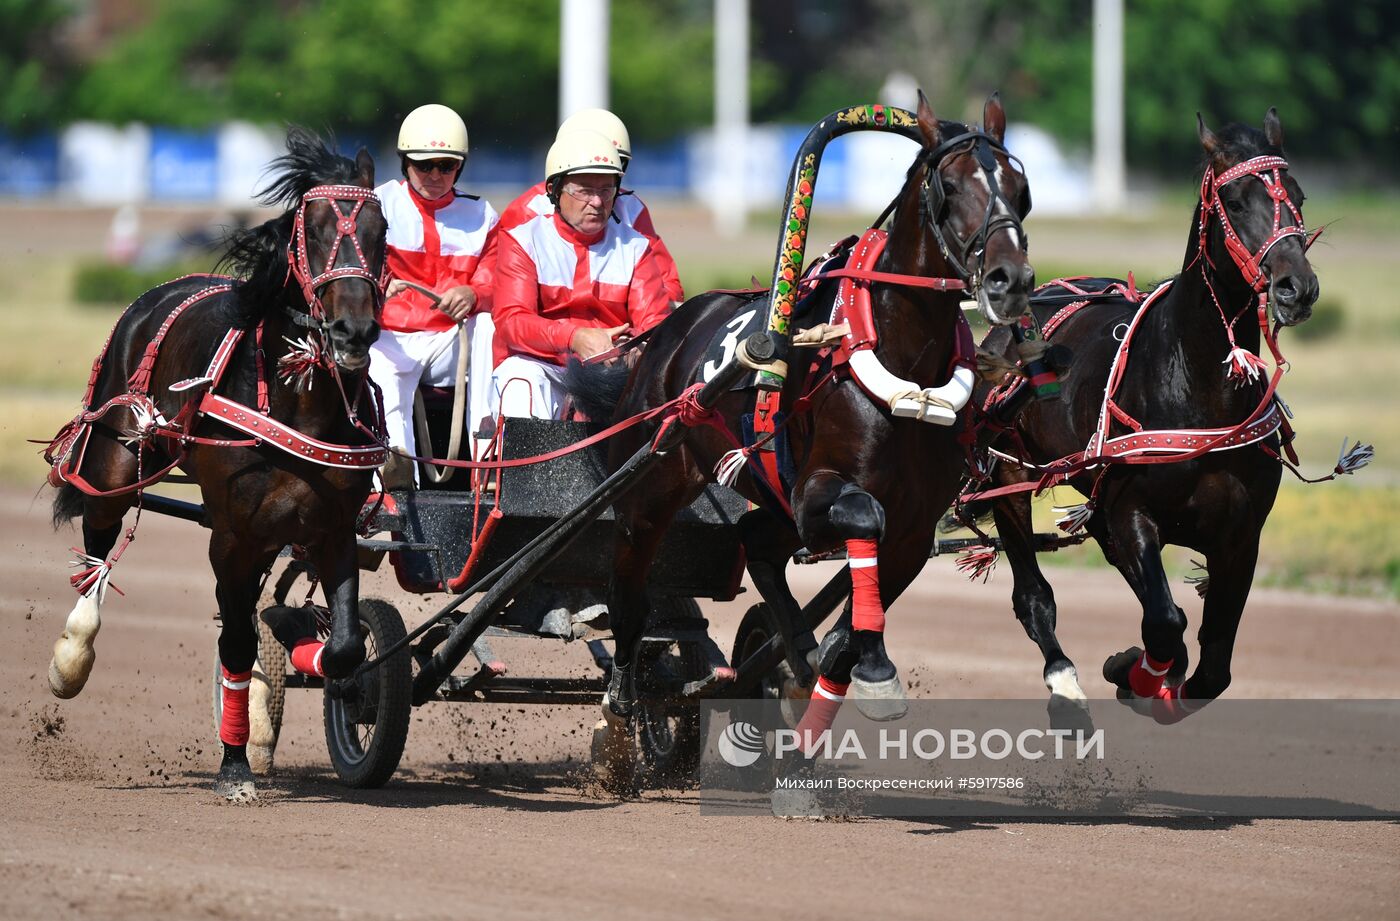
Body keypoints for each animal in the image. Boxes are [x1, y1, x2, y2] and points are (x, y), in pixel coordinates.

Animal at [44, 128, 389, 795]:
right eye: (316, 228)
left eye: (381, 228)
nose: (352, 330)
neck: (297, 403)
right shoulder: (231, 534)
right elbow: (234, 643)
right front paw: (236, 760)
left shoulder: (334, 528)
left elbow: (342, 644)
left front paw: (321, 671)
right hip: (115, 457)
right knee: (97, 548)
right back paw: (73, 655)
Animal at [571, 91, 1041, 739]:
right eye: (949, 185)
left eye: (1021, 188)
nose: (1010, 279)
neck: (905, 368)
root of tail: (667, 335)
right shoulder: (820, 488)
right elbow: (865, 516)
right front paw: (872, 666)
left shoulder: (914, 526)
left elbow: (851, 628)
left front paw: (842, 665)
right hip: (652, 484)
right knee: (630, 588)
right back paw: (623, 696)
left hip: (770, 502)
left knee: (755, 541)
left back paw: (793, 649)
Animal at [974, 111, 1321, 722]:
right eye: (1234, 200)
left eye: (1298, 196)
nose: (1295, 287)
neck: (1199, 394)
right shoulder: (1132, 511)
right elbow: (1163, 622)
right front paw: (1134, 673)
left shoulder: (1240, 535)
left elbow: (1212, 663)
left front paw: (1153, 678)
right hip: (1010, 470)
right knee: (1033, 595)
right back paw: (1065, 688)